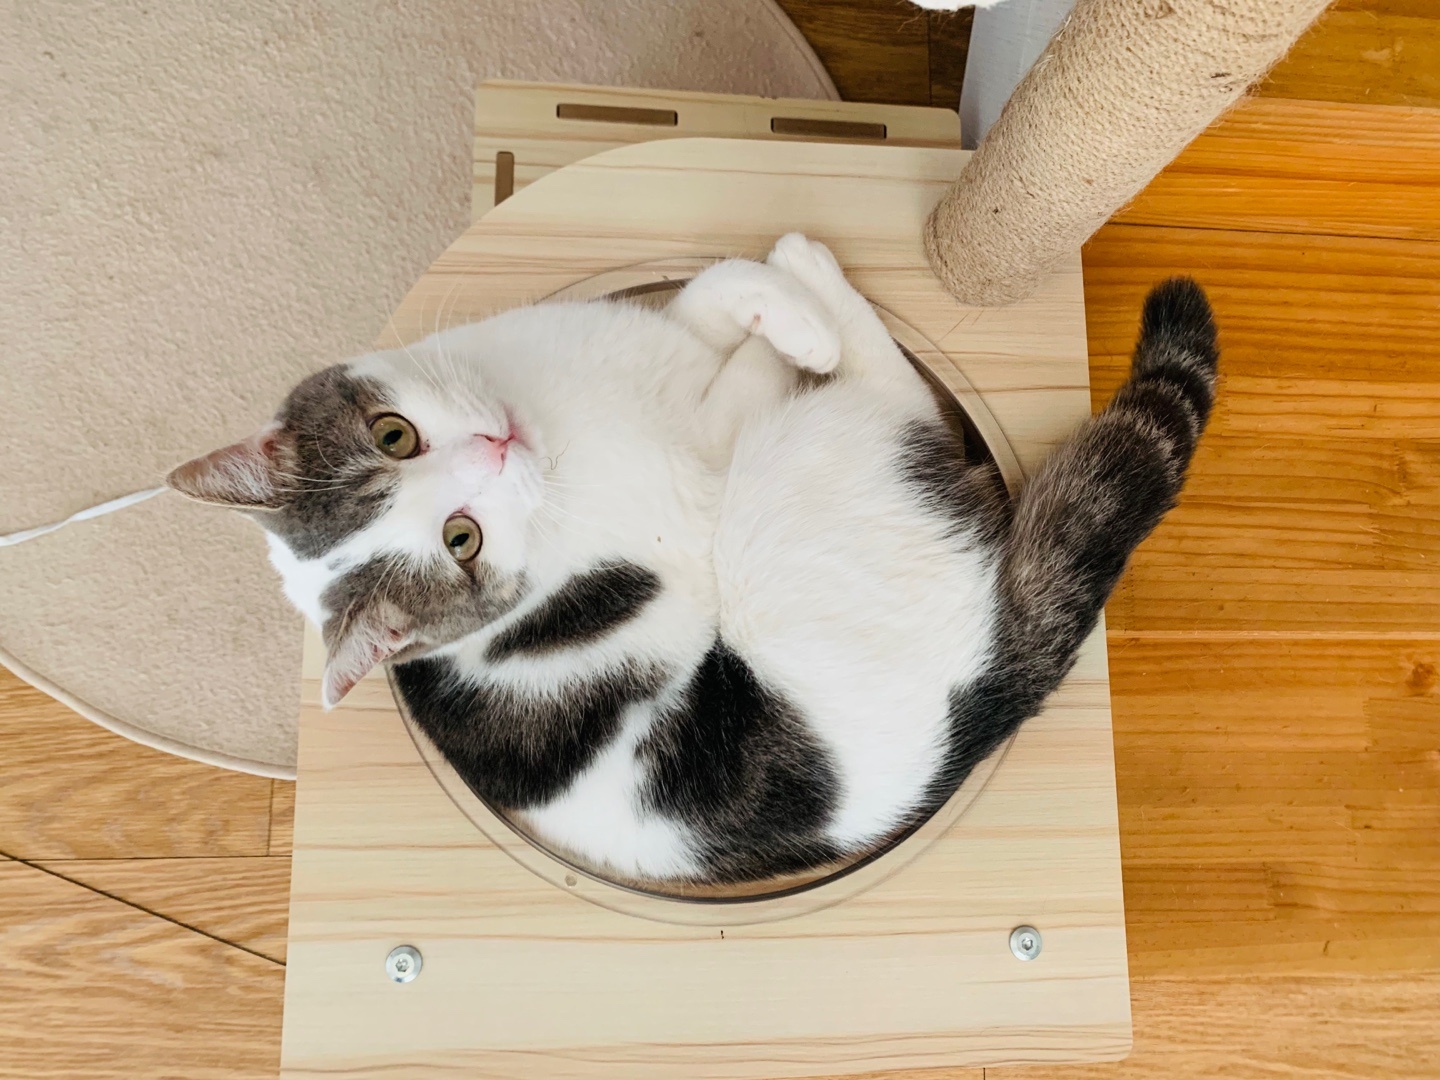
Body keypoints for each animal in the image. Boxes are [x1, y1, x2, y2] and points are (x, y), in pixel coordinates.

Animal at [167, 234, 1217, 885]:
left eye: (395, 435)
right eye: (462, 542)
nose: (497, 449)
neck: (559, 413)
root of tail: (985, 696)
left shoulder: (654, 334)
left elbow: (713, 289)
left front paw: (775, 300)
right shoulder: (708, 465)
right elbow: (750, 373)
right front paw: (804, 326)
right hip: (788, 493)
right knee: (889, 399)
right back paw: (827, 299)